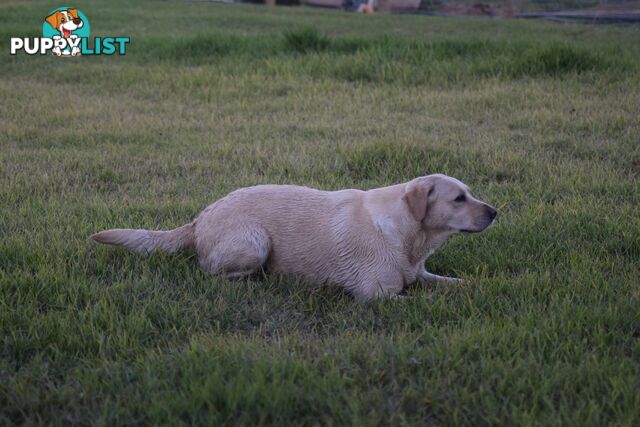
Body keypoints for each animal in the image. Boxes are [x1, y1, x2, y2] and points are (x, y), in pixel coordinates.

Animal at [92, 174, 496, 300]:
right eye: (458, 199)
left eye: (470, 192)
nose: (495, 211)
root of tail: (199, 218)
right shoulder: (375, 296)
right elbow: (414, 301)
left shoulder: (422, 273)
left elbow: (455, 283)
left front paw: (479, 286)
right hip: (254, 242)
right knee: (214, 273)